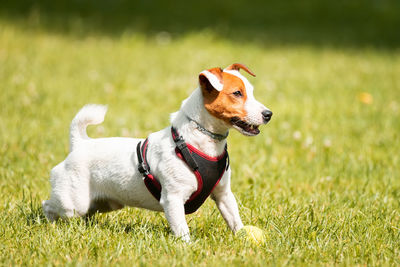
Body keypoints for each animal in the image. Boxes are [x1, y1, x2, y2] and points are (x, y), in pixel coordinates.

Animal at [42, 63, 272, 243]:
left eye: (251, 92)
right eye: (237, 93)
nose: (268, 114)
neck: (199, 141)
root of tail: (80, 144)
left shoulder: (224, 195)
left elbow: (234, 219)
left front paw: (243, 236)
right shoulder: (173, 199)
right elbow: (181, 229)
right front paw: (187, 248)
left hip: (104, 203)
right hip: (73, 201)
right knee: (49, 206)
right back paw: (49, 225)